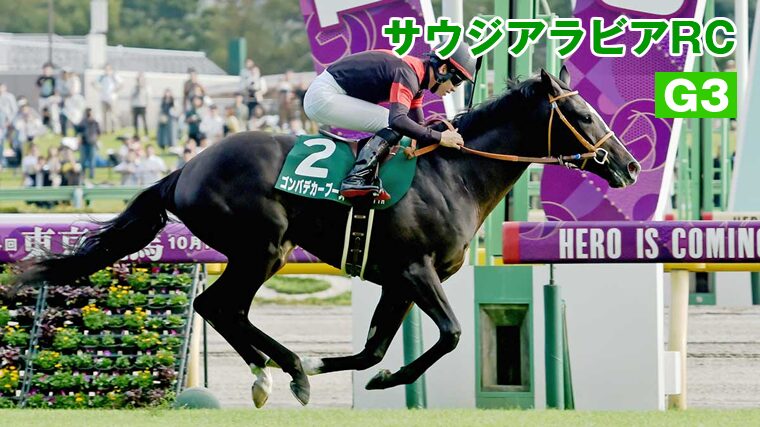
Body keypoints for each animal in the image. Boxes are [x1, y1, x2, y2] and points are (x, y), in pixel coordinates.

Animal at [13, 68, 640, 407]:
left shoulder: (398, 281)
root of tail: (184, 168)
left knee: (220, 308)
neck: (453, 173)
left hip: (262, 251)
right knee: (219, 305)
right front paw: (336, 372)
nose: (628, 165)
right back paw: (283, 370)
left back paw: (277, 370)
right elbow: (453, 335)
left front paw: (366, 374)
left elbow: (374, 350)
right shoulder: (416, 270)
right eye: (584, 114)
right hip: (263, 248)